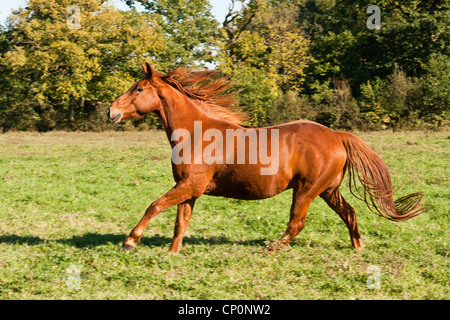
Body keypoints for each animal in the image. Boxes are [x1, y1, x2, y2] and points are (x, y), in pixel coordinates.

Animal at [107, 61, 428, 254]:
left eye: (139, 88)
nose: (111, 112)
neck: (197, 133)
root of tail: (337, 136)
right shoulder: (190, 189)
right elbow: (180, 222)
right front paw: (173, 253)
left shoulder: (189, 186)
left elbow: (154, 206)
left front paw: (129, 241)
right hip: (328, 190)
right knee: (348, 212)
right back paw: (358, 247)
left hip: (306, 190)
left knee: (297, 223)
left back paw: (273, 247)